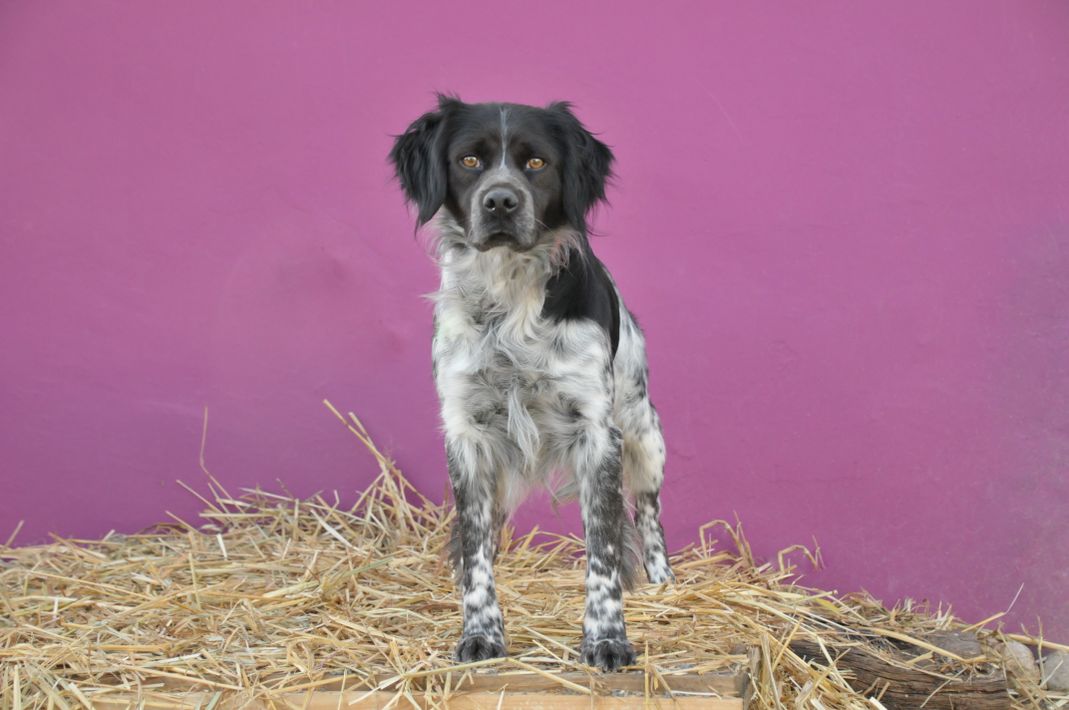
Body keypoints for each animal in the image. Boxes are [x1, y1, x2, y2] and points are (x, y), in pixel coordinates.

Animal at [389, 96, 672, 672]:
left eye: (536, 163)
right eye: (469, 161)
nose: (500, 201)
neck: (508, 294)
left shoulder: (598, 434)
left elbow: (604, 550)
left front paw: (607, 638)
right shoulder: (467, 434)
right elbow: (476, 551)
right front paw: (480, 633)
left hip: (645, 433)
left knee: (649, 511)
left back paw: (662, 582)